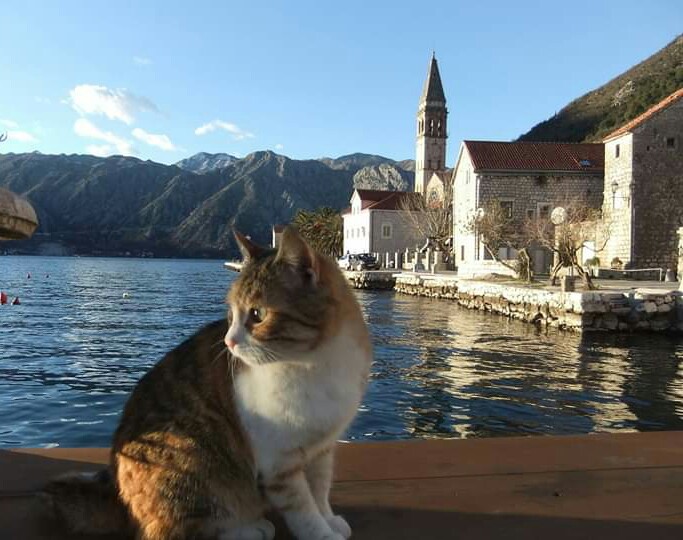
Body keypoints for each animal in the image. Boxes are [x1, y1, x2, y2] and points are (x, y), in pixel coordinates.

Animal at [41, 228, 374, 540]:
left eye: (258, 314)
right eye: (231, 314)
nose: (229, 341)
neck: (314, 363)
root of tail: (118, 502)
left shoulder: (321, 448)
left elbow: (319, 491)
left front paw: (329, 519)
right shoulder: (279, 463)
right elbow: (303, 510)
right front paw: (322, 532)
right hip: (189, 455)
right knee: (177, 530)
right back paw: (249, 529)